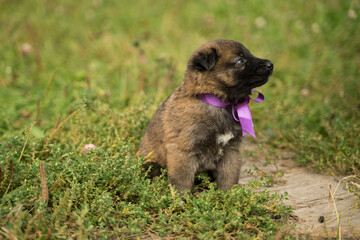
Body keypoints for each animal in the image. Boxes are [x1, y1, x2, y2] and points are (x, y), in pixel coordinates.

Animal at [140, 39, 272, 193]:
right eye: (240, 60)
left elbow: (229, 178)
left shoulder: (231, 151)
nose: (271, 64)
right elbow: (181, 182)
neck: (217, 102)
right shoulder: (183, 151)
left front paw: (228, 195)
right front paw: (180, 199)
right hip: (151, 163)